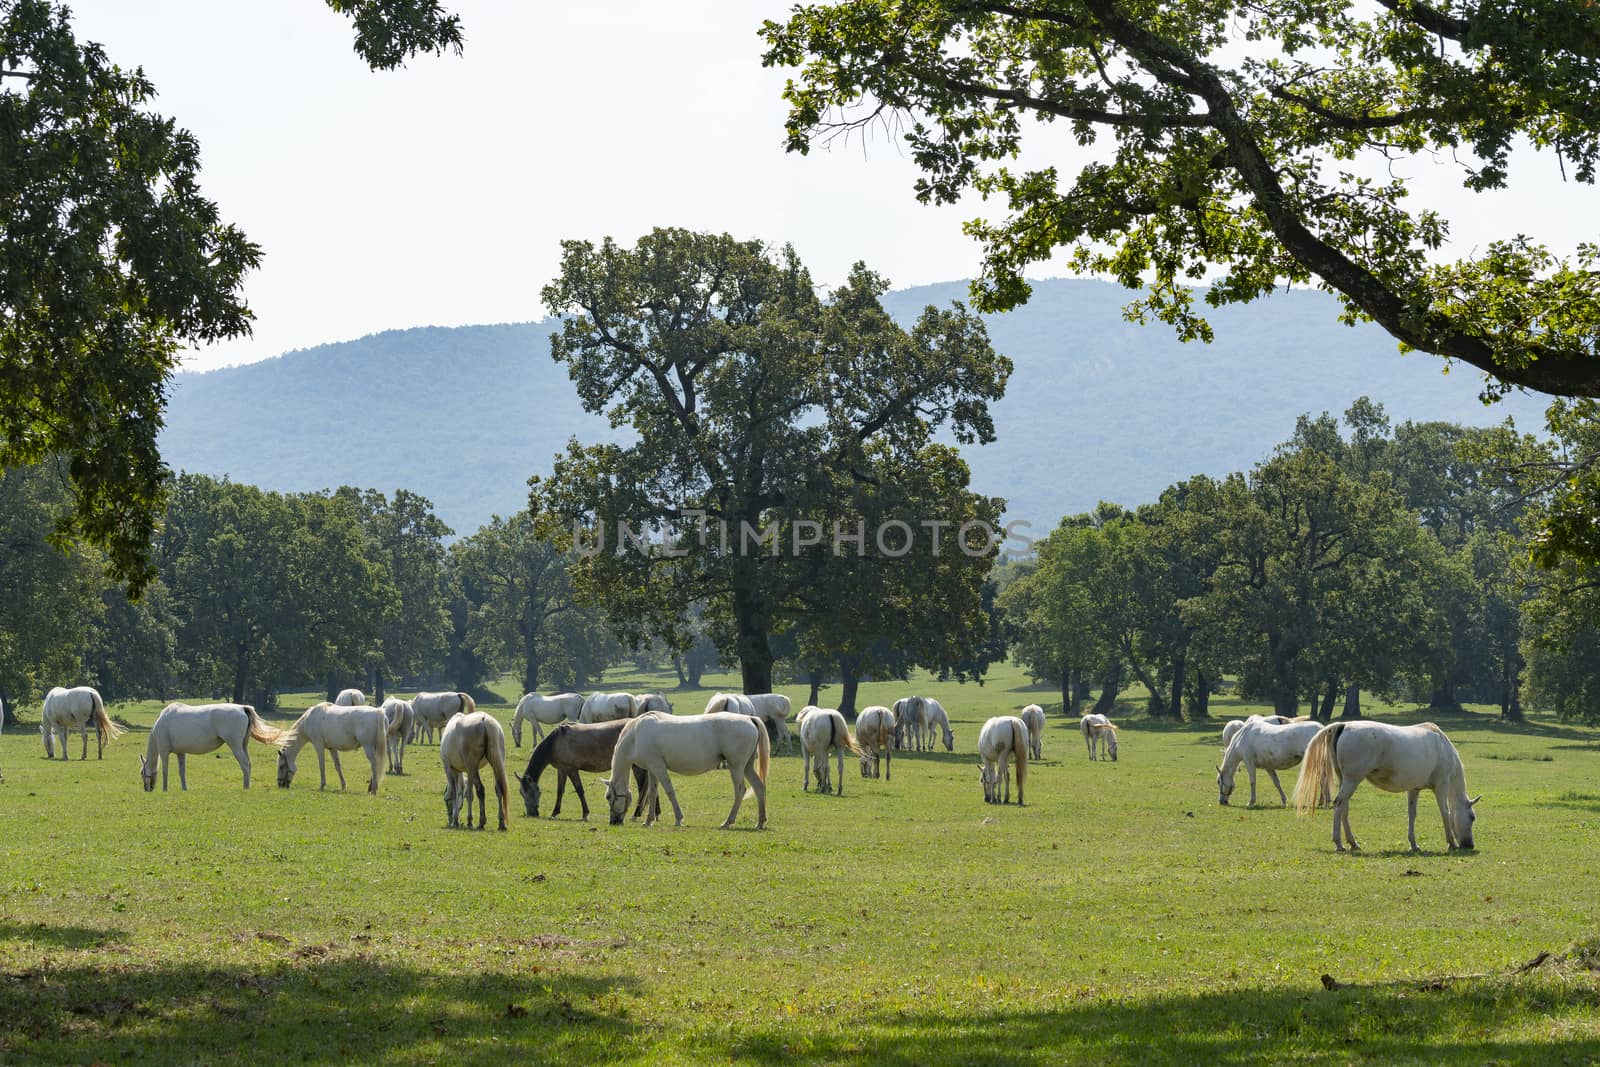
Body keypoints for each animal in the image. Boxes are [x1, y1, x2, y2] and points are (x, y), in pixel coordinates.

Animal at [140, 700, 288, 793]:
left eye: (142, 773)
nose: (147, 789)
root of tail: (242, 708)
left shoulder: (164, 751)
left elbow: (165, 771)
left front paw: (165, 789)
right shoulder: (181, 753)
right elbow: (182, 772)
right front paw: (184, 788)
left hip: (235, 746)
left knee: (245, 765)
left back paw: (245, 787)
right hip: (243, 745)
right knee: (249, 763)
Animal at [518, 723, 656, 825]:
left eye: (531, 792)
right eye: (521, 793)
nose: (531, 813)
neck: (554, 742)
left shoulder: (571, 769)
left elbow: (580, 790)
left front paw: (585, 814)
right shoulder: (562, 770)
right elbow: (560, 791)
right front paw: (555, 812)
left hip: (636, 766)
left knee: (643, 789)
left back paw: (637, 814)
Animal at [601, 713, 771, 831]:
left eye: (609, 797)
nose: (613, 822)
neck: (635, 735)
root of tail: (749, 718)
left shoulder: (658, 767)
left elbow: (669, 791)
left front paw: (678, 819)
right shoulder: (652, 768)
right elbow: (653, 793)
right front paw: (648, 820)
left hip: (736, 766)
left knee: (740, 790)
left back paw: (727, 822)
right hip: (747, 766)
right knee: (759, 787)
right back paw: (760, 822)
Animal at [1292, 716, 1478, 851]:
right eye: (1472, 817)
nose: (1469, 845)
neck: (1442, 746)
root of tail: (1343, 725)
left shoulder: (1414, 789)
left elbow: (1412, 814)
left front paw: (1414, 844)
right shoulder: (1441, 786)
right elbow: (1445, 812)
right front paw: (1451, 843)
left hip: (1345, 780)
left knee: (1344, 807)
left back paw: (1353, 843)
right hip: (1352, 780)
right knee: (1339, 805)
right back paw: (1339, 843)